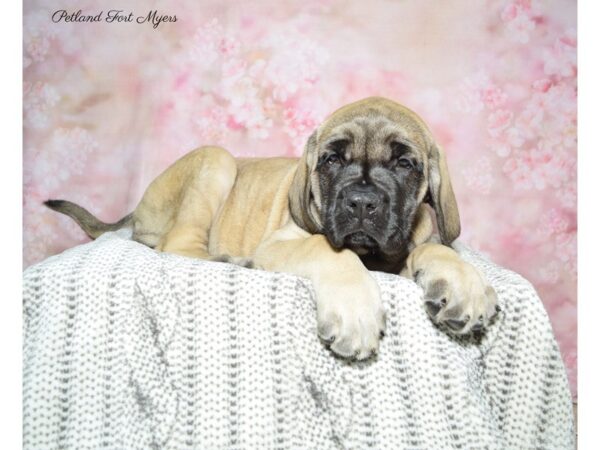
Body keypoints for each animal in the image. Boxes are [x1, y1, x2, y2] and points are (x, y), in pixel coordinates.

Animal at [45, 96, 496, 360]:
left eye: (404, 164)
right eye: (331, 160)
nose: (361, 202)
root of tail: (136, 209)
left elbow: (437, 249)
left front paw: (465, 286)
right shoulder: (285, 242)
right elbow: (331, 251)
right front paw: (355, 311)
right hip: (217, 160)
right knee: (177, 246)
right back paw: (233, 260)